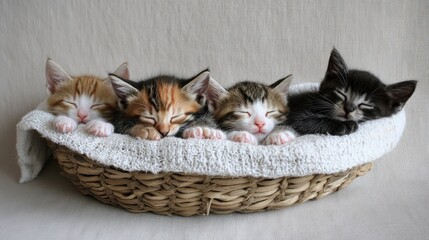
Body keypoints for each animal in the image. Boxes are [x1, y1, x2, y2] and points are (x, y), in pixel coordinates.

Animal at [286, 47, 416, 136]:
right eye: (341, 94)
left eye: (366, 104)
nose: (348, 109)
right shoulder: (298, 110)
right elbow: (303, 120)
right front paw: (342, 125)